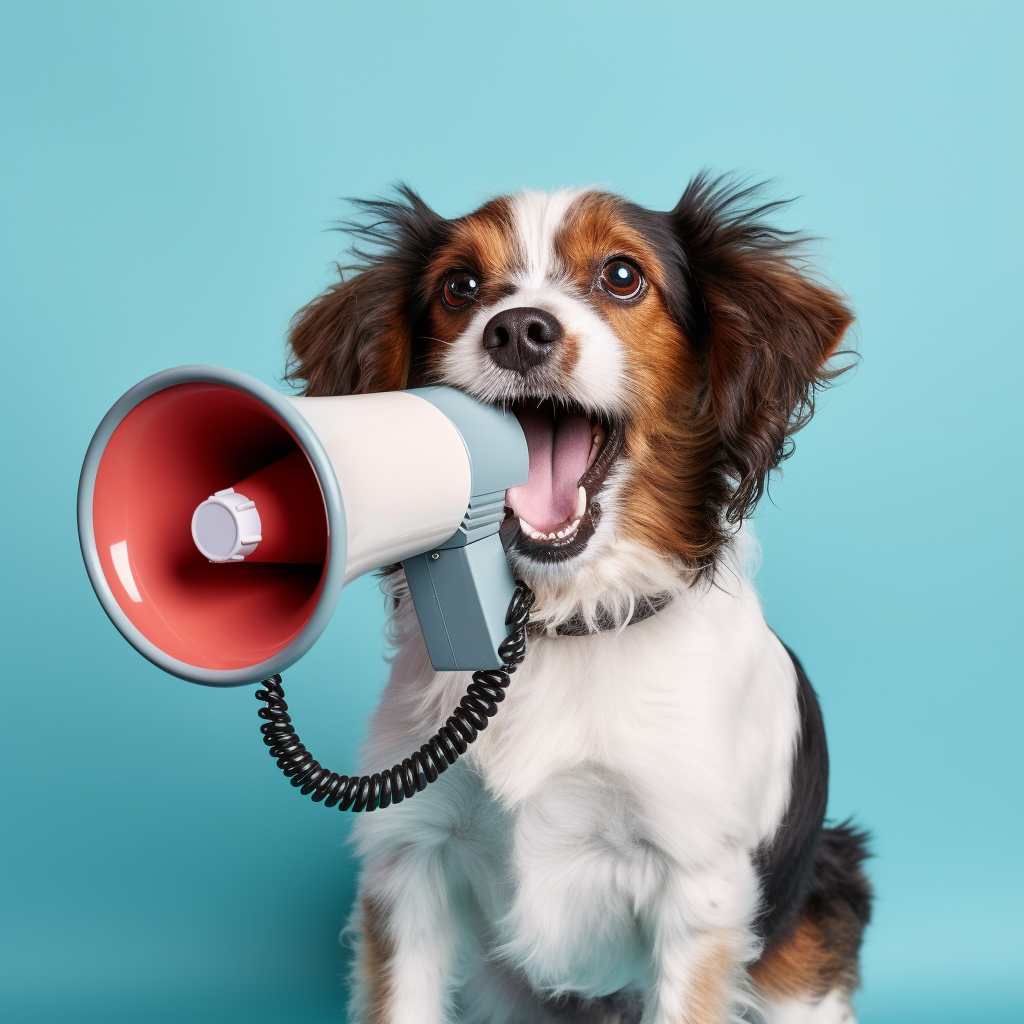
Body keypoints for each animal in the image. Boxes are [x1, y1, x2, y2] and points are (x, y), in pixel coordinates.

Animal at [286, 176, 872, 1024]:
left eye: (622, 276)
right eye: (459, 287)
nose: (518, 331)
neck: (561, 622)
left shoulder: (695, 891)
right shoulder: (411, 857)